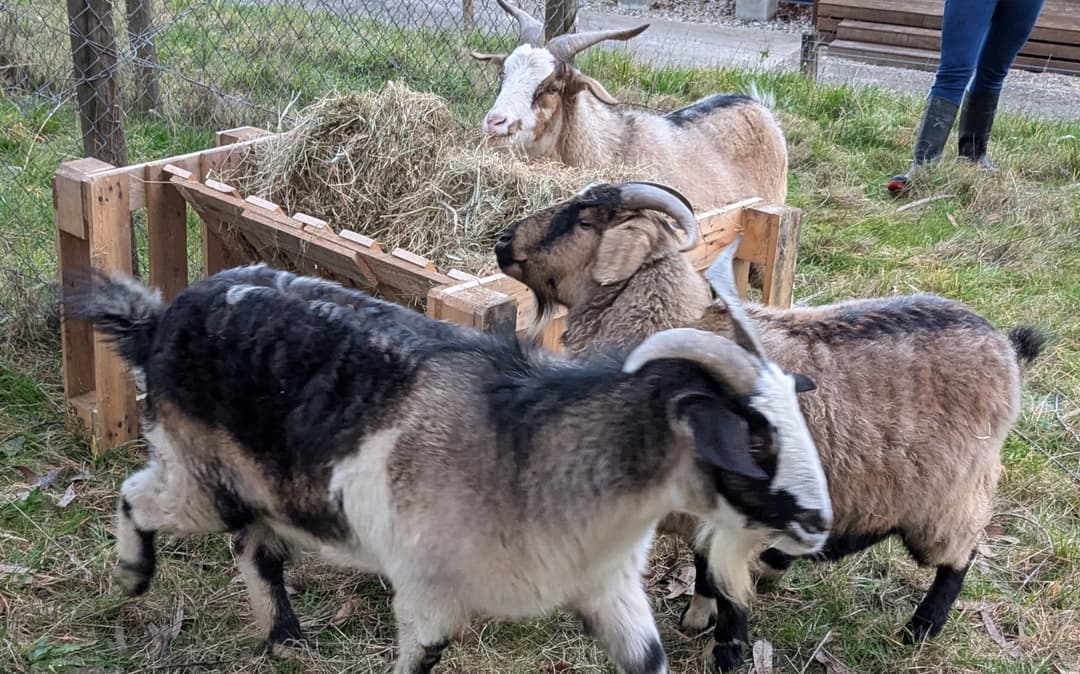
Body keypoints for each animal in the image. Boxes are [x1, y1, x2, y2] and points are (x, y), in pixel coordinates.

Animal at [78, 263, 833, 674]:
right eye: (754, 436)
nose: (819, 523)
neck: (528, 452)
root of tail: (160, 321)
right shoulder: (427, 591)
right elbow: (425, 655)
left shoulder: (609, 589)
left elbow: (648, 659)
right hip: (198, 473)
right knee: (137, 496)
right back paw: (132, 575)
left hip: (261, 483)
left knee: (256, 549)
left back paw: (286, 638)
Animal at [496, 181, 1045, 669]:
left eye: (586, 219)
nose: (503, 242)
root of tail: (1005, 342)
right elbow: (706, 571)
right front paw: (696, 619)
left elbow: (728, 592)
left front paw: (727, 653)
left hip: (953, 494)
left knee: (959, 557)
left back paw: (919, 630)